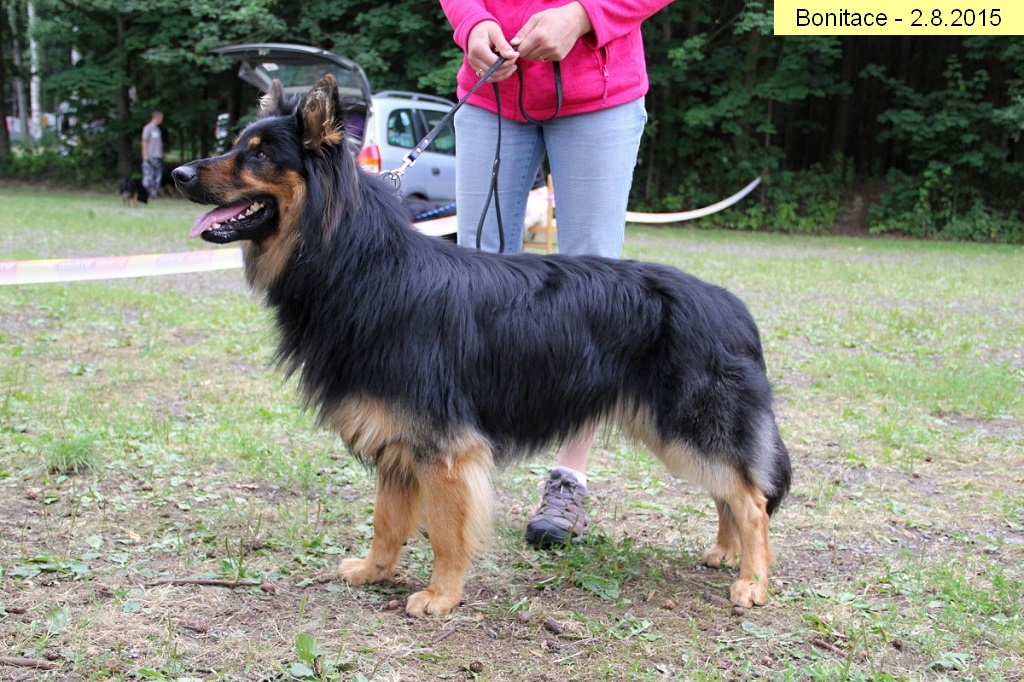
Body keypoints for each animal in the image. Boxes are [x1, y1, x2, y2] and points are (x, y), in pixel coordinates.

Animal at [172, 75, 792, 617]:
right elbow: (386, 520)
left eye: (257, 156)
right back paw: (726, 553)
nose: (177, 173)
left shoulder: (445, 447)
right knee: (730, 492)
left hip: (691, 426)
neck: (363, 266)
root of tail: (731, 306)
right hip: (677, 432)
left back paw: (753, 580)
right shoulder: (399, 436)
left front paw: (441, 596)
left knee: (752, 501)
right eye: (236, 145)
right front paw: (375, 571)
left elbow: (447, 533)